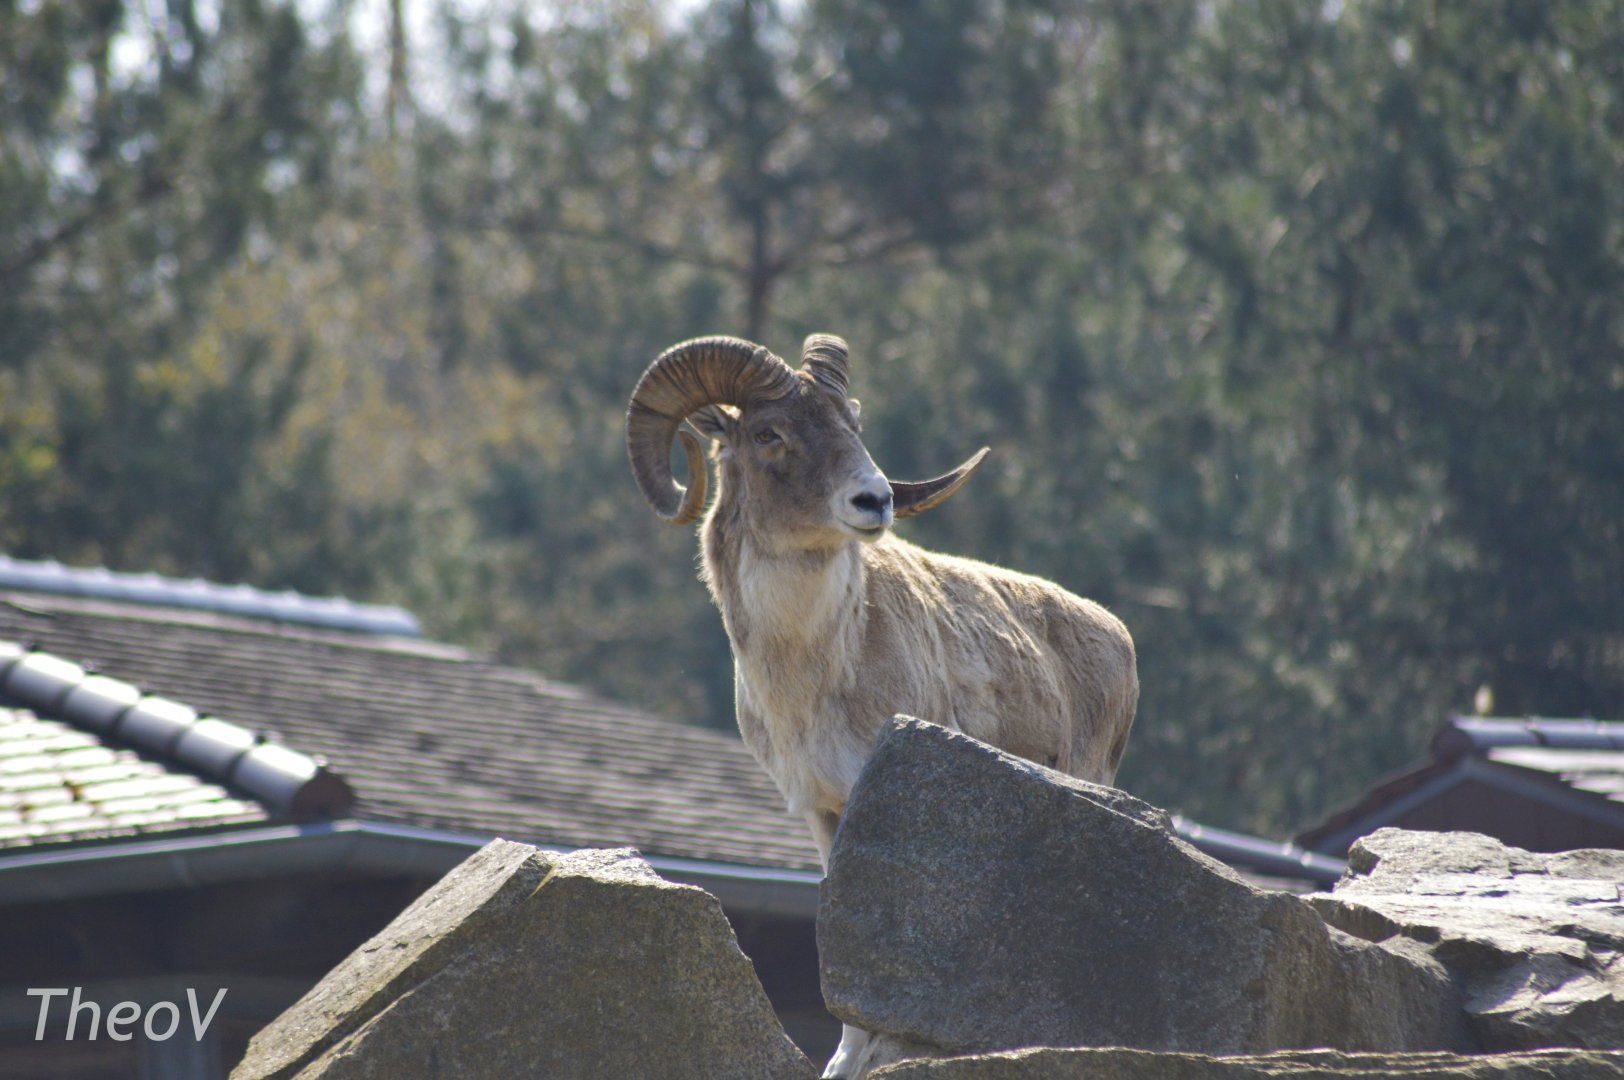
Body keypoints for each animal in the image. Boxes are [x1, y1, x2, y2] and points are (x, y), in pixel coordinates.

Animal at [626, 333, 1138, 1077]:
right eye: (768, 432)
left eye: (852, 423)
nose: (874, 500)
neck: (812, 677)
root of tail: (1119, 637)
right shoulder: (822, 810)